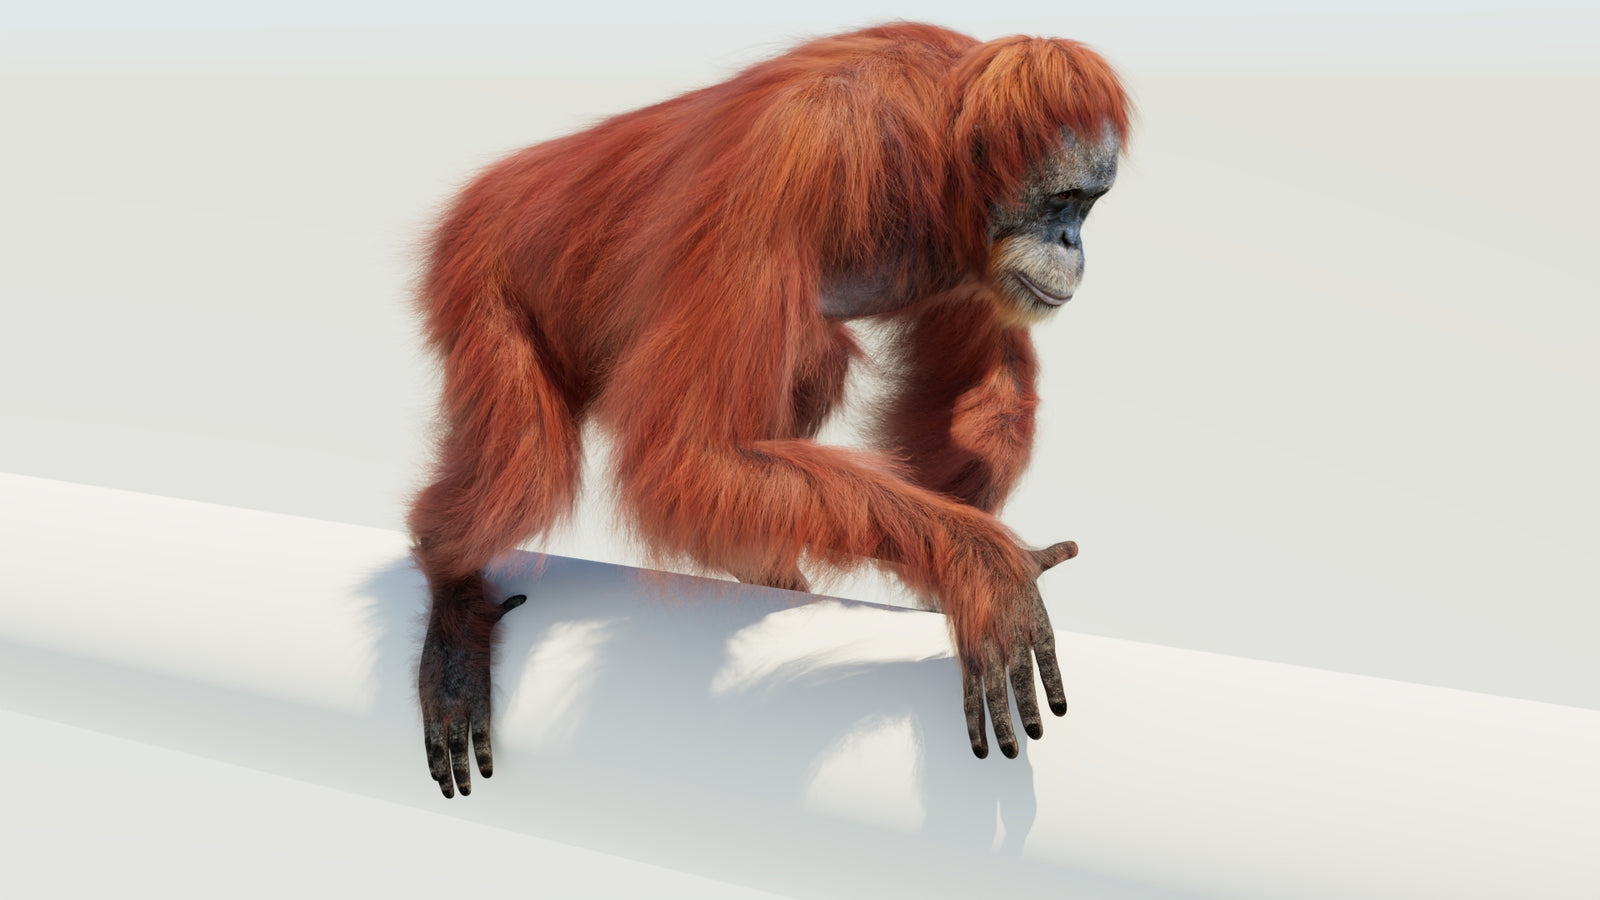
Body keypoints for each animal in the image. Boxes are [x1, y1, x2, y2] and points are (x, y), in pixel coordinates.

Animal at [407, 22, 1130, 797]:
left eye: (1089, 204)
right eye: (1062, 200)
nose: (1072, 243)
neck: (932, 147)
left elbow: (974, 387)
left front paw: (957, 566)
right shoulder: (796, 157)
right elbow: (690, 457)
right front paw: (984, 569)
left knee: (812, 364)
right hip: (479, 271)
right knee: (528, 474)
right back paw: (453, 596)